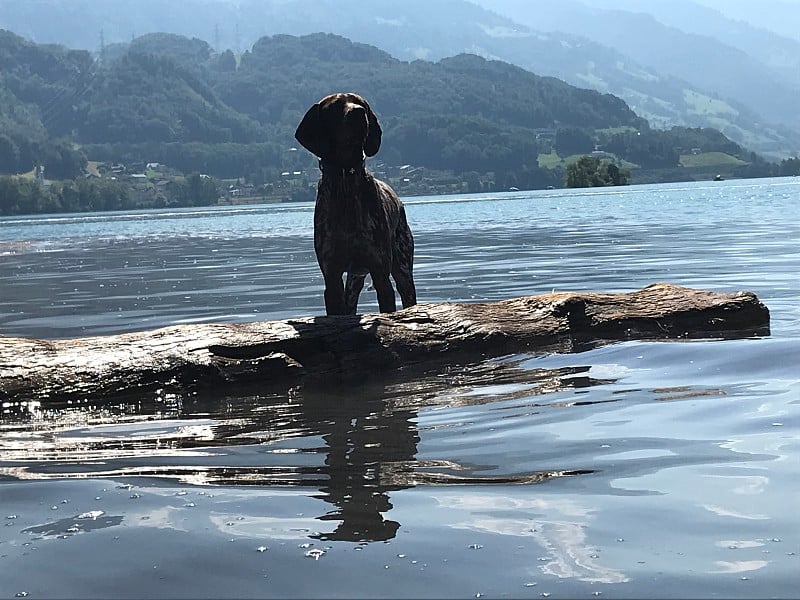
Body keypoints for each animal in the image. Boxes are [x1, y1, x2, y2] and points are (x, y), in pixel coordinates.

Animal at [296, 92, 418, 316]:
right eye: (335, 106)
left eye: (362, 103)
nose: (359, 113)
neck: (346, 178)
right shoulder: (332, 276)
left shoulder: (381, 274)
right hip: (353, 282)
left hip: (402, 270)